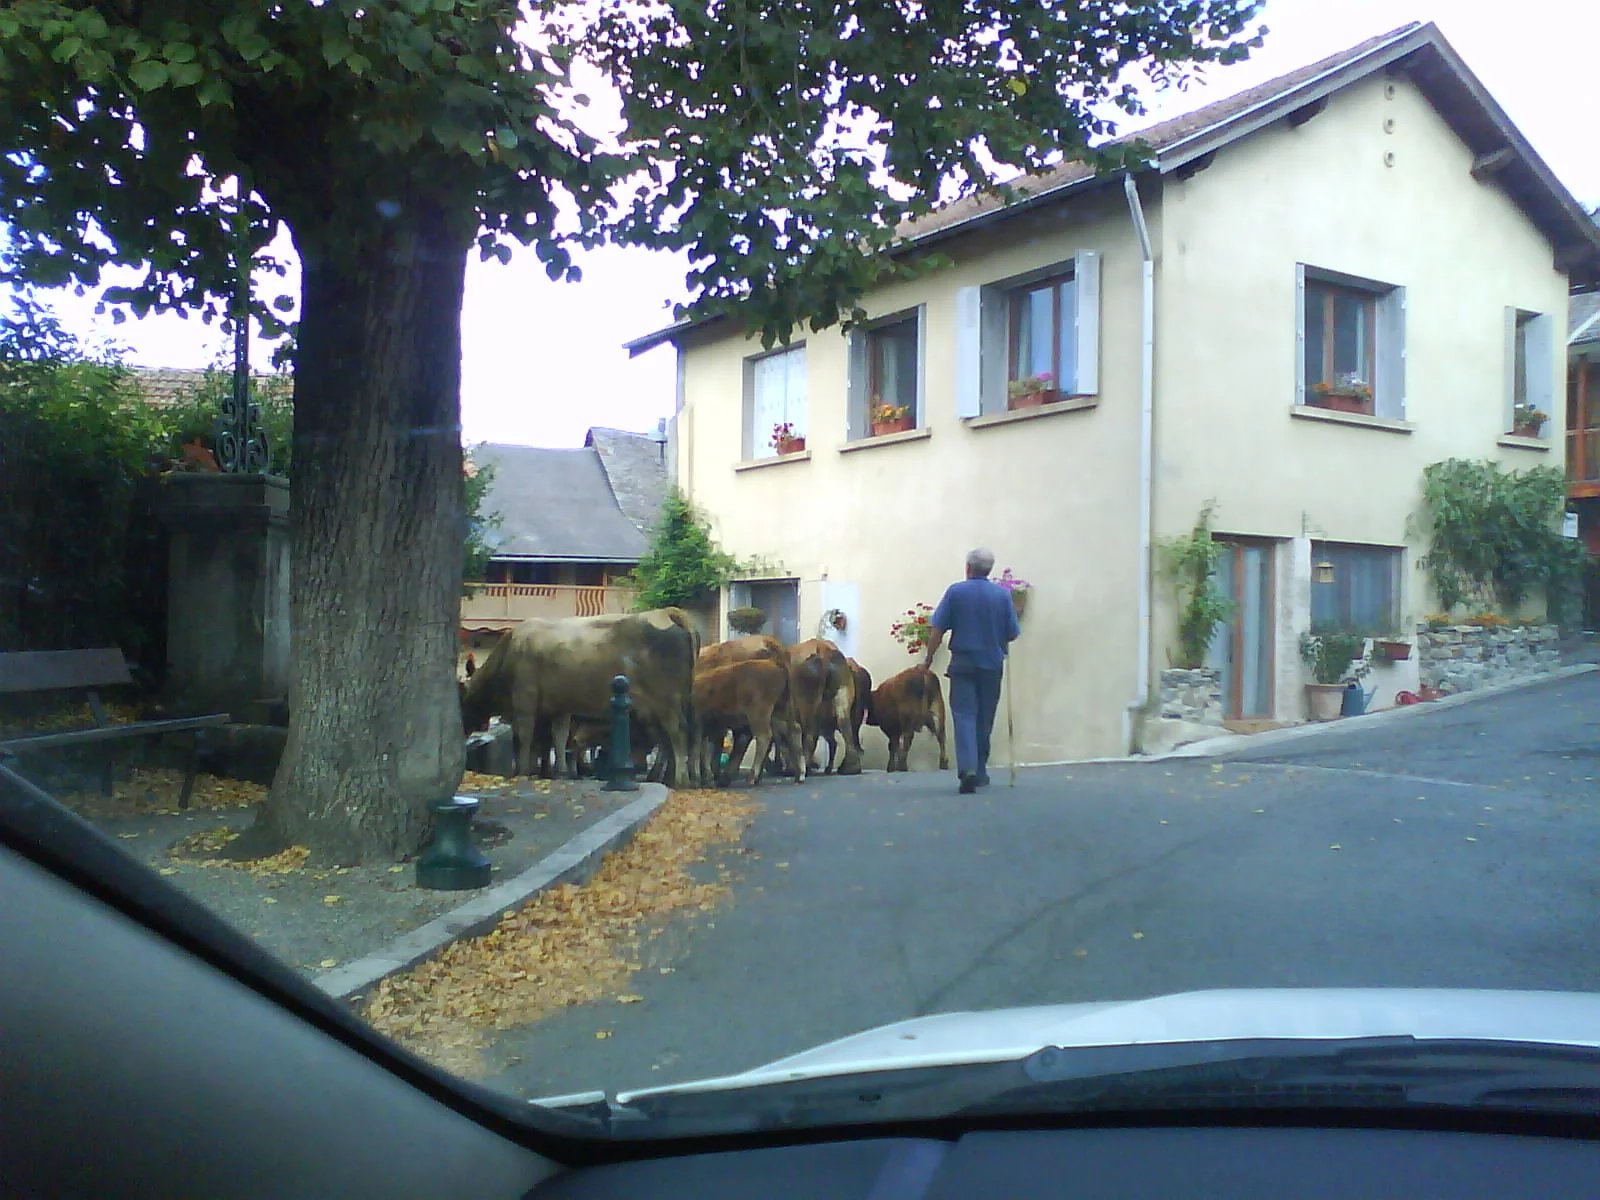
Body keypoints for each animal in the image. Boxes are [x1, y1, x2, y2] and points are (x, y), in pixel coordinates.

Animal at [460, 607, 699, 787]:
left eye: (461, 703)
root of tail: (666, 612)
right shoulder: (559, 707)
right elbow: (559, 737)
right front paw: (560, 772)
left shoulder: (524, 701)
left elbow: (525, 737)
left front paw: (522, 771)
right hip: (666, 703)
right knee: (666, 739)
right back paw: (662, 777)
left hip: (666, 700)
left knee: (677, 732)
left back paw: (680, 780)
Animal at [789, 639, 862, 775]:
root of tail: (823, 649)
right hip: (842, 688)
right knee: (845, 725)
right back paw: (851, 767)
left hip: (807, 701)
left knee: (810, 734)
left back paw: (804, 768)